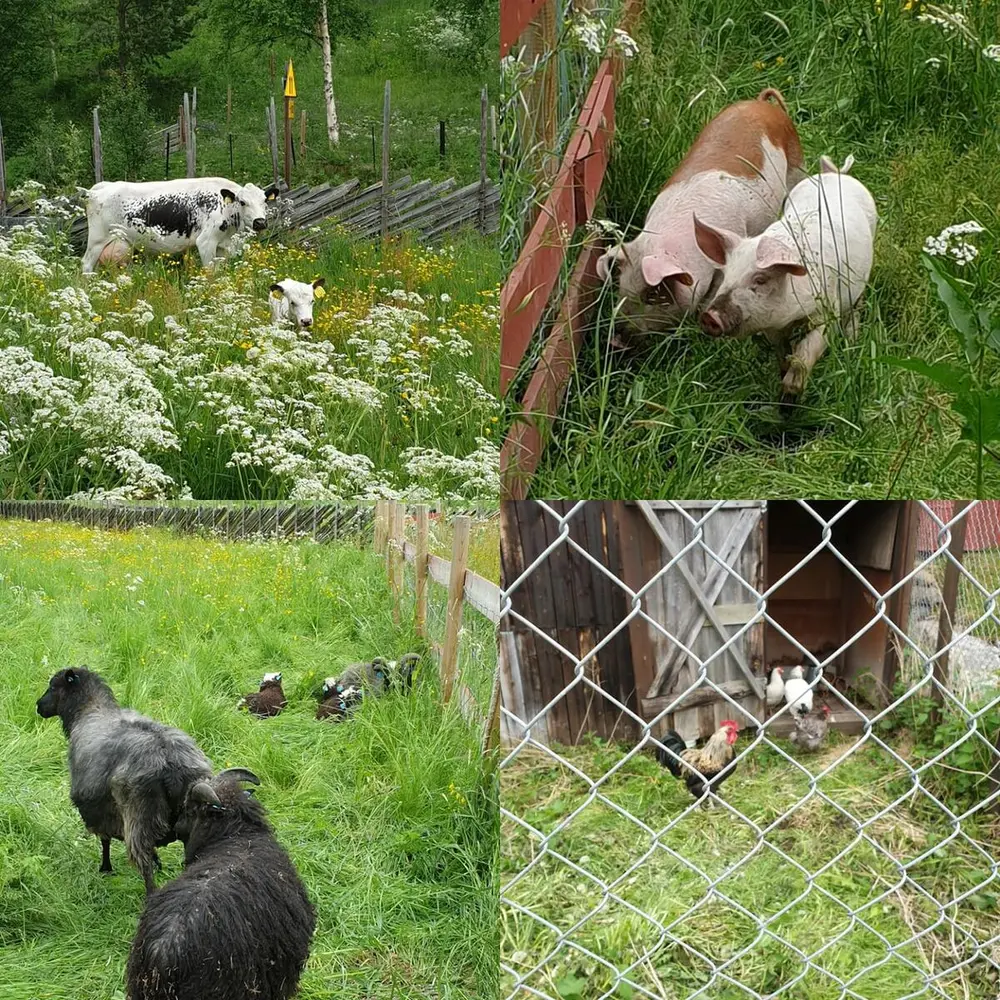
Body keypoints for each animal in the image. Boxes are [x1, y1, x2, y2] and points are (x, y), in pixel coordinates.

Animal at [35, 668, 213, 896]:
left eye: (53, 686)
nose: (38, 706)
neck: (89, 710)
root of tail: (169, 760)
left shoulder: (98, 806)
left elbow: (105, 840)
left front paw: (105, 869)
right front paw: (158, 863)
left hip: (140, 814)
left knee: (144, 864)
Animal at [82, 174, 282, 272]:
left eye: (264, 201)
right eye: (242, 202)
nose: (260, 222)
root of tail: (100, 188)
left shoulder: (223, 246)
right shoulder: (206, 241)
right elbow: (210, 272)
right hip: (97, 241)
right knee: (86, 264)